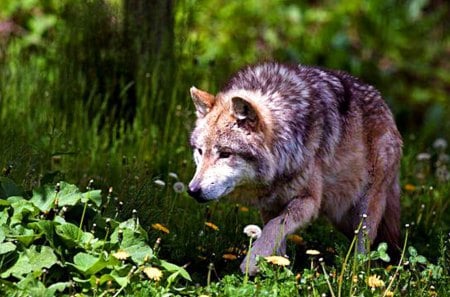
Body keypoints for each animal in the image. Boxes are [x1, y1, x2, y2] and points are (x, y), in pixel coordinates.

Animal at [185, 61, 402, 272]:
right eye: (200, 151)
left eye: (225, 154)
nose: (193, 191)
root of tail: (384, 104)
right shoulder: (270, 205)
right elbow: (276, 236)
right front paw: (275, 269)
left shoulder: (308, 200)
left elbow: (274, 227)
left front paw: (252, 262)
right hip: (342, 216)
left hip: (364, 210)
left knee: (364, 247)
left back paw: (355, 274)